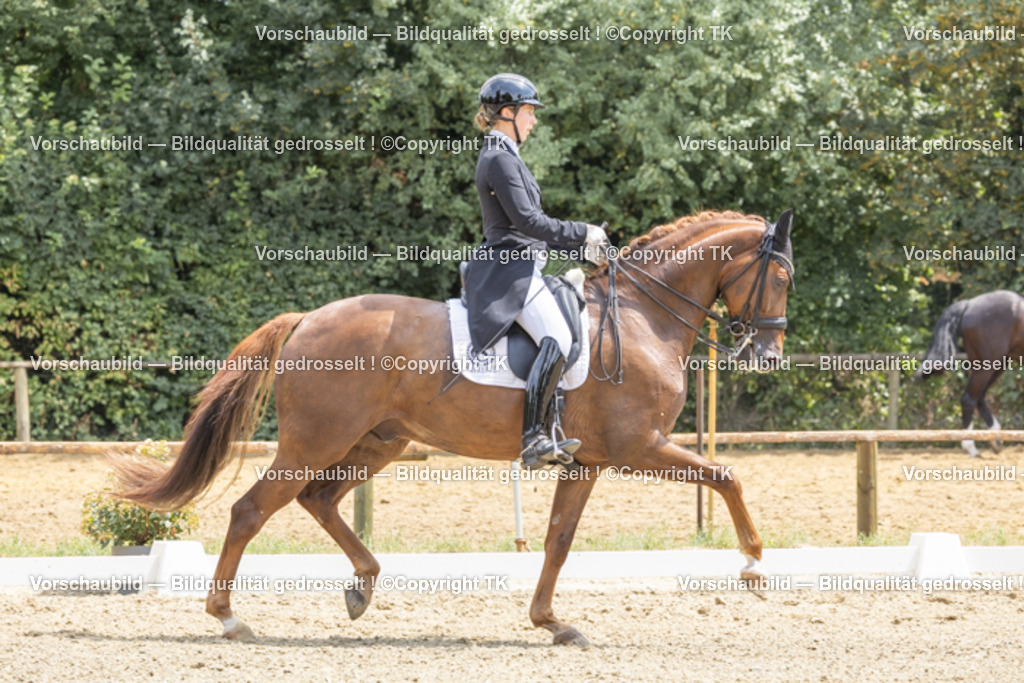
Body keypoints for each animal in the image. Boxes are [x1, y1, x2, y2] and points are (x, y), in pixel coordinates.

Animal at [113, 209, 796, 646]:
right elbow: (728, 476)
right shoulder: (639, 447)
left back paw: (362, 586)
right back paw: (229, 618)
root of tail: (307, 319)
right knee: (252, 509)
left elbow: (558, 540)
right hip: (317, 440)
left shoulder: (588, 461)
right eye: (784, 277)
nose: (768, 355)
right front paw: (754, 566)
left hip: (377, 442)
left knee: (318, 500)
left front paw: (552, 623)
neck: (642, 317)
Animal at [917, 290, 1024, 457]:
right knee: (969, 399)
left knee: (978, 397)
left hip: (998, 363)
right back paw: (971, 447)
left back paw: (995, 439)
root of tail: (969, 304)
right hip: (988, 364)